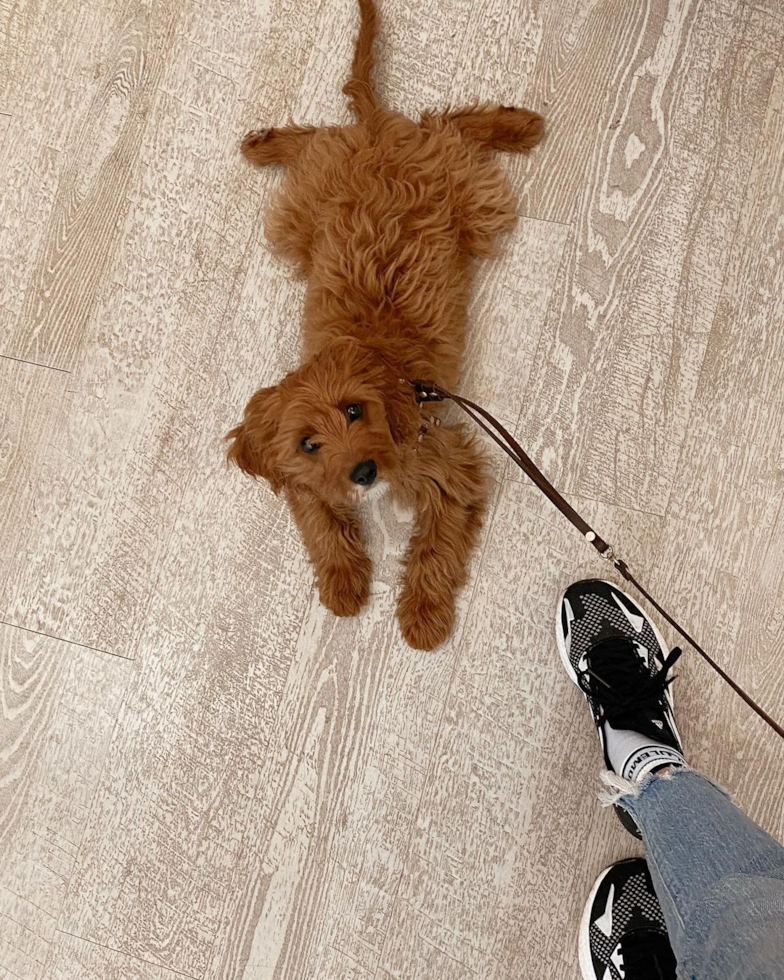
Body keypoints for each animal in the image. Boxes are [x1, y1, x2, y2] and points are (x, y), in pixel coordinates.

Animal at [230, 0, 544, 652]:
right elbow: (322, 524)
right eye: (308, 442)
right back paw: (265, 142)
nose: (363, 472)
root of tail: (376, 130)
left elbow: (434, 552)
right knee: (325, 136)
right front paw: (344, 585)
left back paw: (518, 125)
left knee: (450, 124)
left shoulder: (449, 465)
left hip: (472, 203)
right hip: (300, 218)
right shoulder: (303, 480)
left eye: (355, 410)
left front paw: (423, 616)